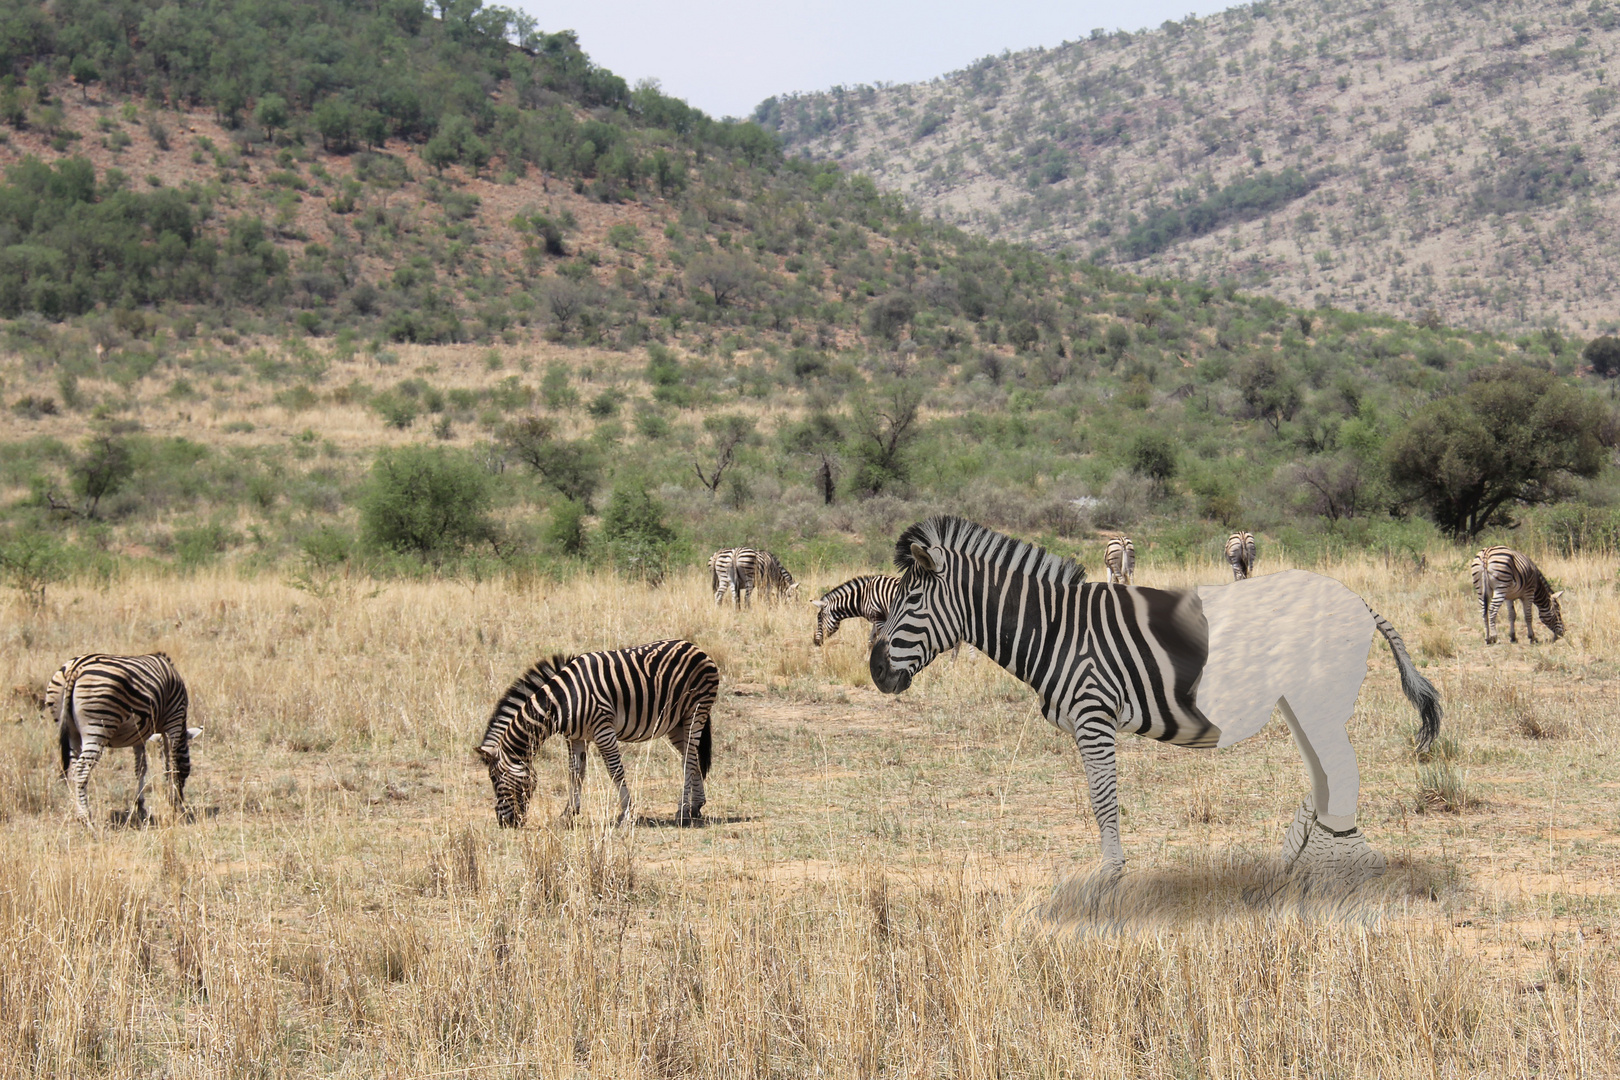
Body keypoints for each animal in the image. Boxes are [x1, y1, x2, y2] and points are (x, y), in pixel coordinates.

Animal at [44, 650, 200, 829]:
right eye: (187, 772)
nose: (180, 802)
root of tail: (75, 669)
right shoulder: (174, 718)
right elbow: (171, 763)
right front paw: (173, 802)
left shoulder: (140, 734)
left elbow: (141, 767)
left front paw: (140, 805)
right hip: (98, 726)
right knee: (82, 769)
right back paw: (86, 819)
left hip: (71, 731)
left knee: (75, 767)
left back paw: (78, 813)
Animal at [473, 641, 719, 829]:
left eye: (494, 779)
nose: (505, 823)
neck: (561, 701)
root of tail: (694, 647)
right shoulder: (575, 737)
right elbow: (575, 773)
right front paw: (568, 814)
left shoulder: (603, 730)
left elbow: (615, 771)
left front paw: (626, 815)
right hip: (676, 723)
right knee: (691, 756)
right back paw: (695, 806)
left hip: (695, 711)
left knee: (689, 759)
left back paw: (682, 811)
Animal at [874, 518, 1445, 887]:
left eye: (911, 601)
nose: (876, 671)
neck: (1055, 629)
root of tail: (1358, 600)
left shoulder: (1094, 715)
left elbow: (1103, 800)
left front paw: (1109, 877)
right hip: (1301, 701)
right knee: (1327, 772)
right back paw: (1291, 859)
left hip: (1315, 696)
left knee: (1337, 770)